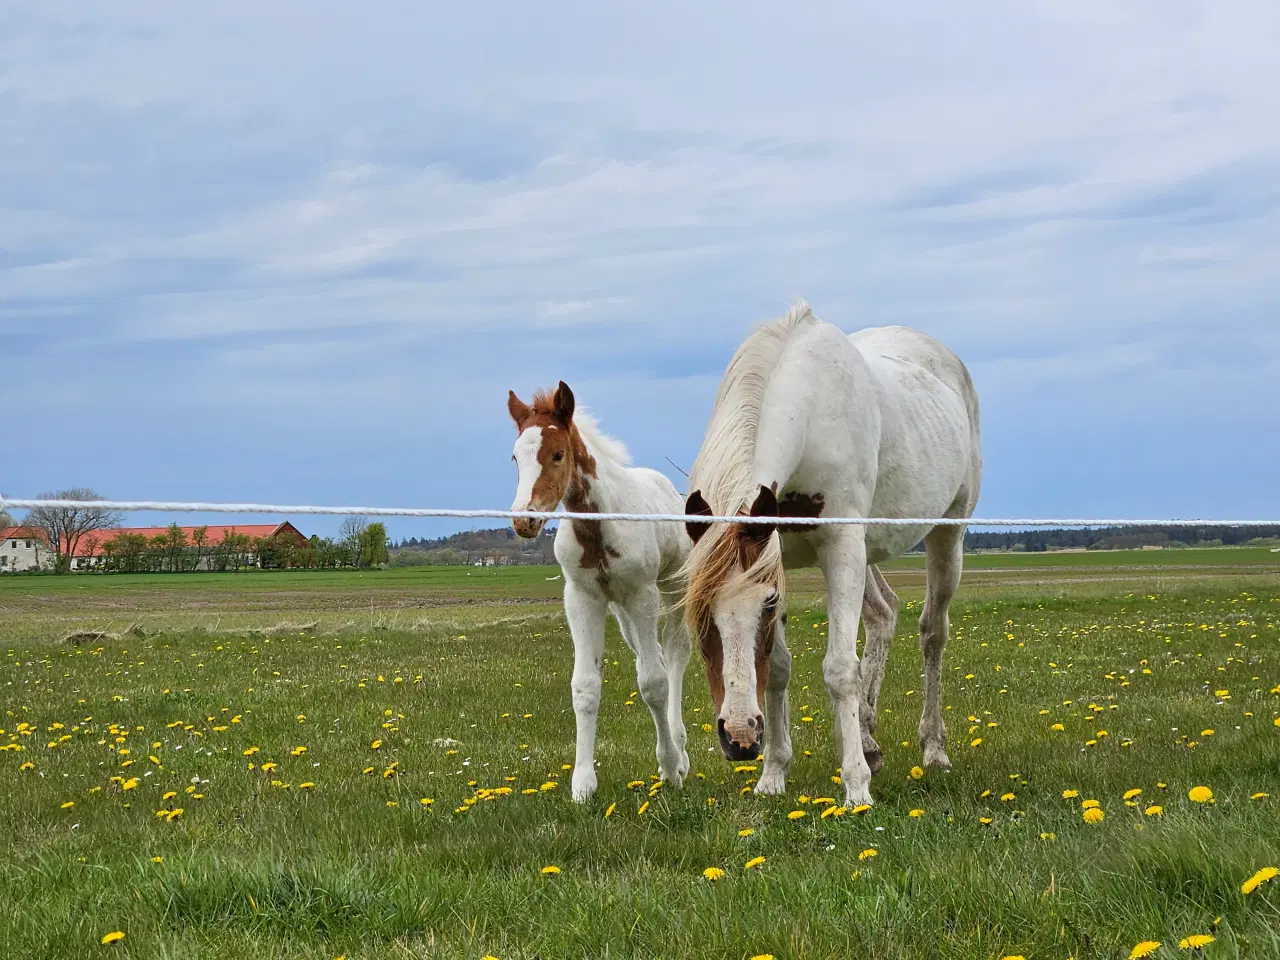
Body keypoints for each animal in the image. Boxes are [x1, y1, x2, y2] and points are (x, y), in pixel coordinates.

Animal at [506, 378, 696, 798]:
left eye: (558, 454)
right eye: (514, 458)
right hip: (622, 610)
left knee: (674, 652)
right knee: (651, 654)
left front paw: (670, 767)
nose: (524, 520)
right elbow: (585, 686)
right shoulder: (582, 597)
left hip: (672, 586)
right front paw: (582, 783)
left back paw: (679, 748)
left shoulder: (642, 593)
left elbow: (654, 683)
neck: (597, 525)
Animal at [680, 304, 977, 808]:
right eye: (699, 613)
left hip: (945, 536)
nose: (740, 738)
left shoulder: (840, 548)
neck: (810, 411)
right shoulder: (781, 558)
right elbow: (778, 670)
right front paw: (773, 774)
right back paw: (870, 738)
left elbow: (840, 669)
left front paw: (856, 787)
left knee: (932, 633)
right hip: (870, 552)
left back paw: (933, 749)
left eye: (767, 605)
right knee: (883, 614)